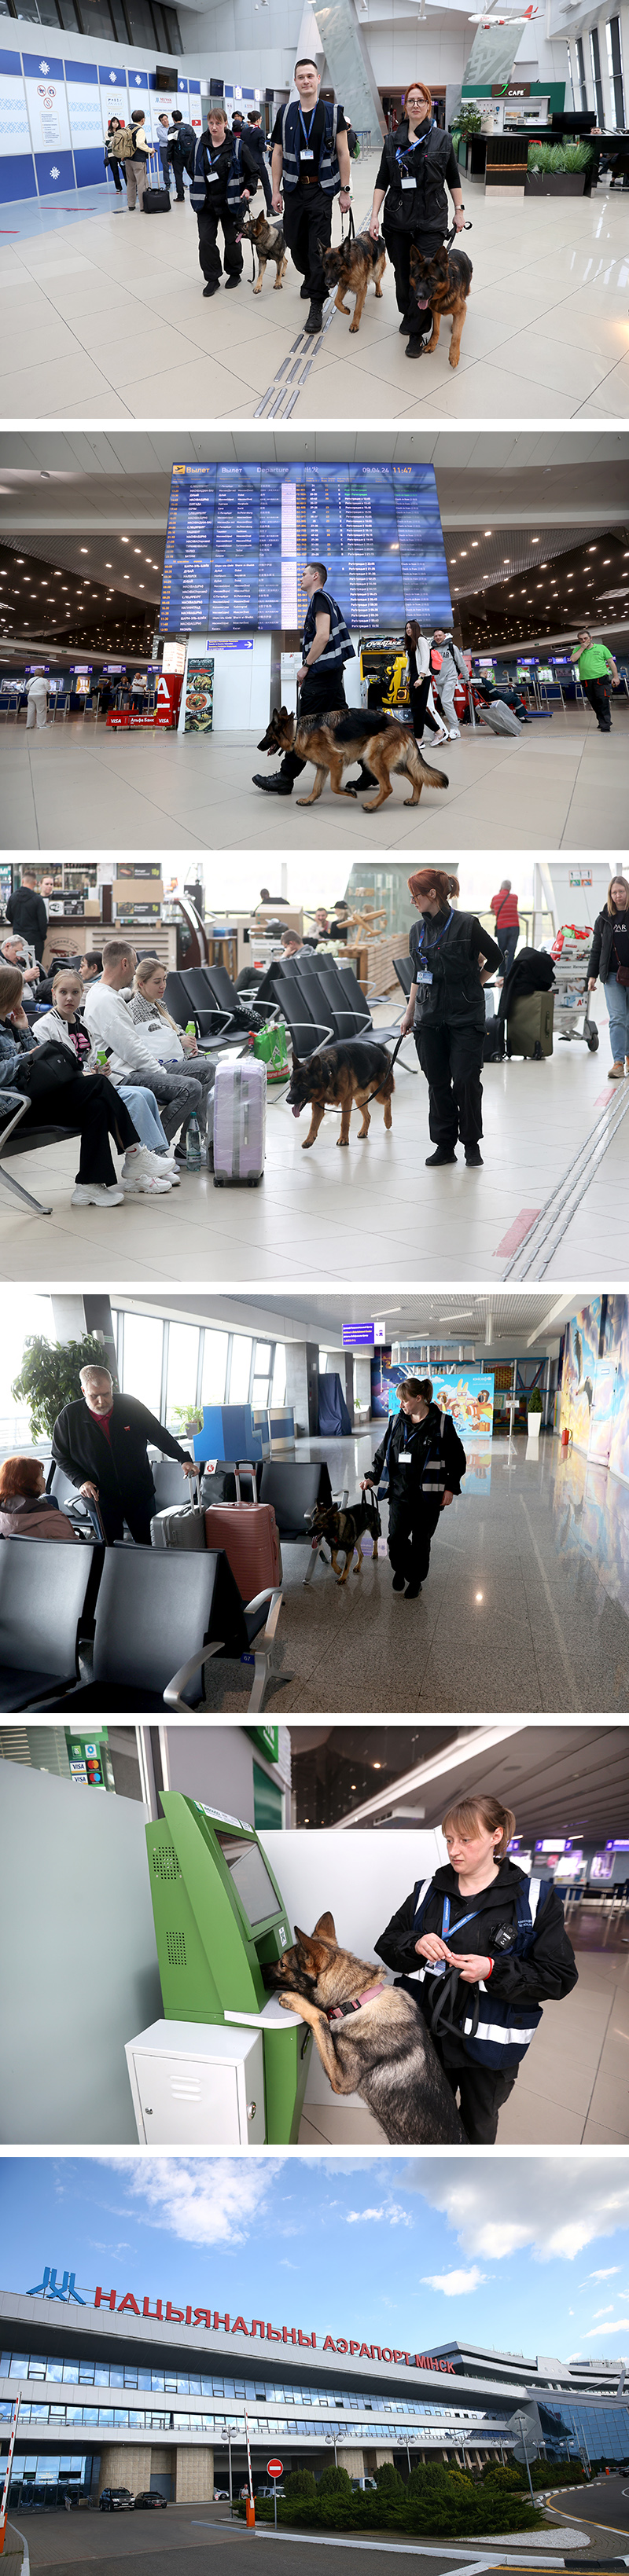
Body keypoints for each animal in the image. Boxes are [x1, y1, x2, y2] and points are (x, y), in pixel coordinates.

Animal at [255, 706, 446, 813]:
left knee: (388, 788)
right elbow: (317, 788)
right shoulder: (323, 768)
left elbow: (333, 786)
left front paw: (349, 792)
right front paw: (309, 800)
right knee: (417, 779)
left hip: (373, 759)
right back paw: (414, 800)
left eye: (267, 734)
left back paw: (372, 805)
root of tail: (404, 727)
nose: (258, 747)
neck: (297, 731)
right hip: (396, 764)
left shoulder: (336, 761)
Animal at [263, 1916, 464, 2153]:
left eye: (283, 1964)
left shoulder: (341, 2081)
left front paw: (295, 1999)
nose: (258, 1966)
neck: (358, 1999)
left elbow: (320, 2018)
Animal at [287, 1035, 394, 1148]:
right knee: (368, 1116)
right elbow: (313, 1125)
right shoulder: (318, 1106)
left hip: (380, 1094)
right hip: (360, 1100)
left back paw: (388, 1120)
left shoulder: (346, 1101)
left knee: (388, 1101)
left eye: (303, 1087)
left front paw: (343, 1139)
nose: (288, 1100)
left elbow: (344, 1122)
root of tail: (382, 1054)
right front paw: (309, 1140)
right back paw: (364, 1131)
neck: (328, 1072)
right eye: (292, 1084)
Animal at [407, 239, 472, 368]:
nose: (418, 296)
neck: (445, 293)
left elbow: (456, 336)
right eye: (417, 278)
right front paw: (432, 344)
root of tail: (459, 251)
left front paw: (454, 355)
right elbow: (436, 330)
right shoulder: (435, 311)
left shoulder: (462, 309)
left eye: (432, 279)